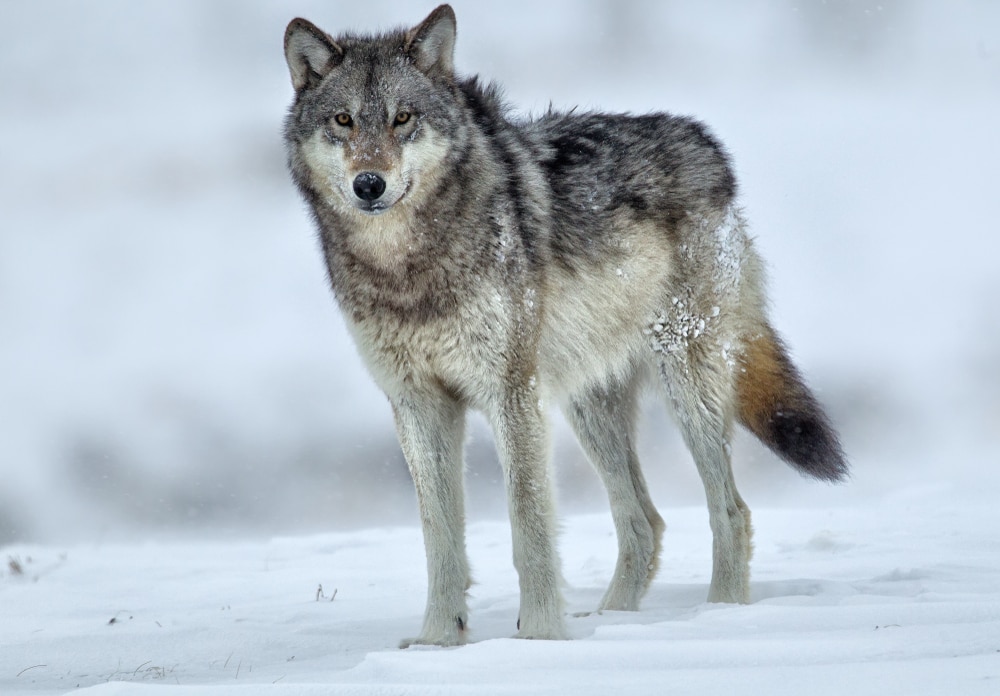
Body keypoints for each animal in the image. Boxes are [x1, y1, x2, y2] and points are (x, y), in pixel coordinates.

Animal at [282, 5, 847, 647]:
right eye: (344, 120)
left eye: (403, 118)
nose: (369, 184)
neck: (406, 270)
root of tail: (704, 144)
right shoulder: (418, 404)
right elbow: (439, 539)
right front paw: (438, 641)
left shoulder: (511, 395)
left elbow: (528, 527)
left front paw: (539, 639)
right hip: (588, 405)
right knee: (644, 521)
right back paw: (613, 621)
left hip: (686, 388)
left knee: (730, 510)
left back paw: (720, 616)